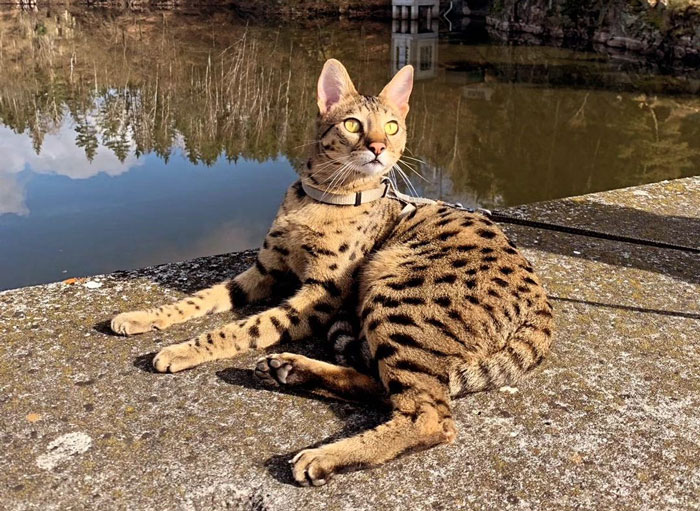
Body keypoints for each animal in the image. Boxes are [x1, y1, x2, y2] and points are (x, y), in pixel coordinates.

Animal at [113, 58, 552, 486]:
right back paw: (290, 371)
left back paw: (323, 455)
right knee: (385, 386)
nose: (378, 148)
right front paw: (141, 317)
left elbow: (243, 328)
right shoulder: (264, 270)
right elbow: (200, 298)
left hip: (394, 294)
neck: (325, 196)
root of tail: (543, 307)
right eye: (353, 124)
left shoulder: (317, 297)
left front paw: (180, 349)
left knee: (429, 416)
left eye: (392, 127)